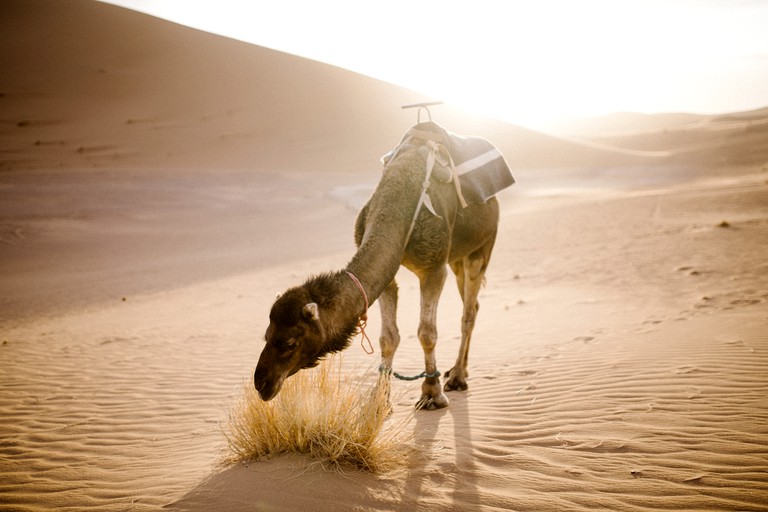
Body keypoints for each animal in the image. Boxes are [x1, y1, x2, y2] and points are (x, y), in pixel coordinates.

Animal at [255, 122, 512, 410]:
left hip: (482, 247)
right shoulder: (387, 278)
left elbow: (427, 333)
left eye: (290, 343)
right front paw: (379, 399)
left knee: (468, 312)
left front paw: (431, 393)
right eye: (267, 334)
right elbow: (388, 338)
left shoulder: (434, 268)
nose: (261, 383)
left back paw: (457, 377)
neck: (395, 212)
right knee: (473, 305)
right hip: (457, 258)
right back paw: (461, 369)